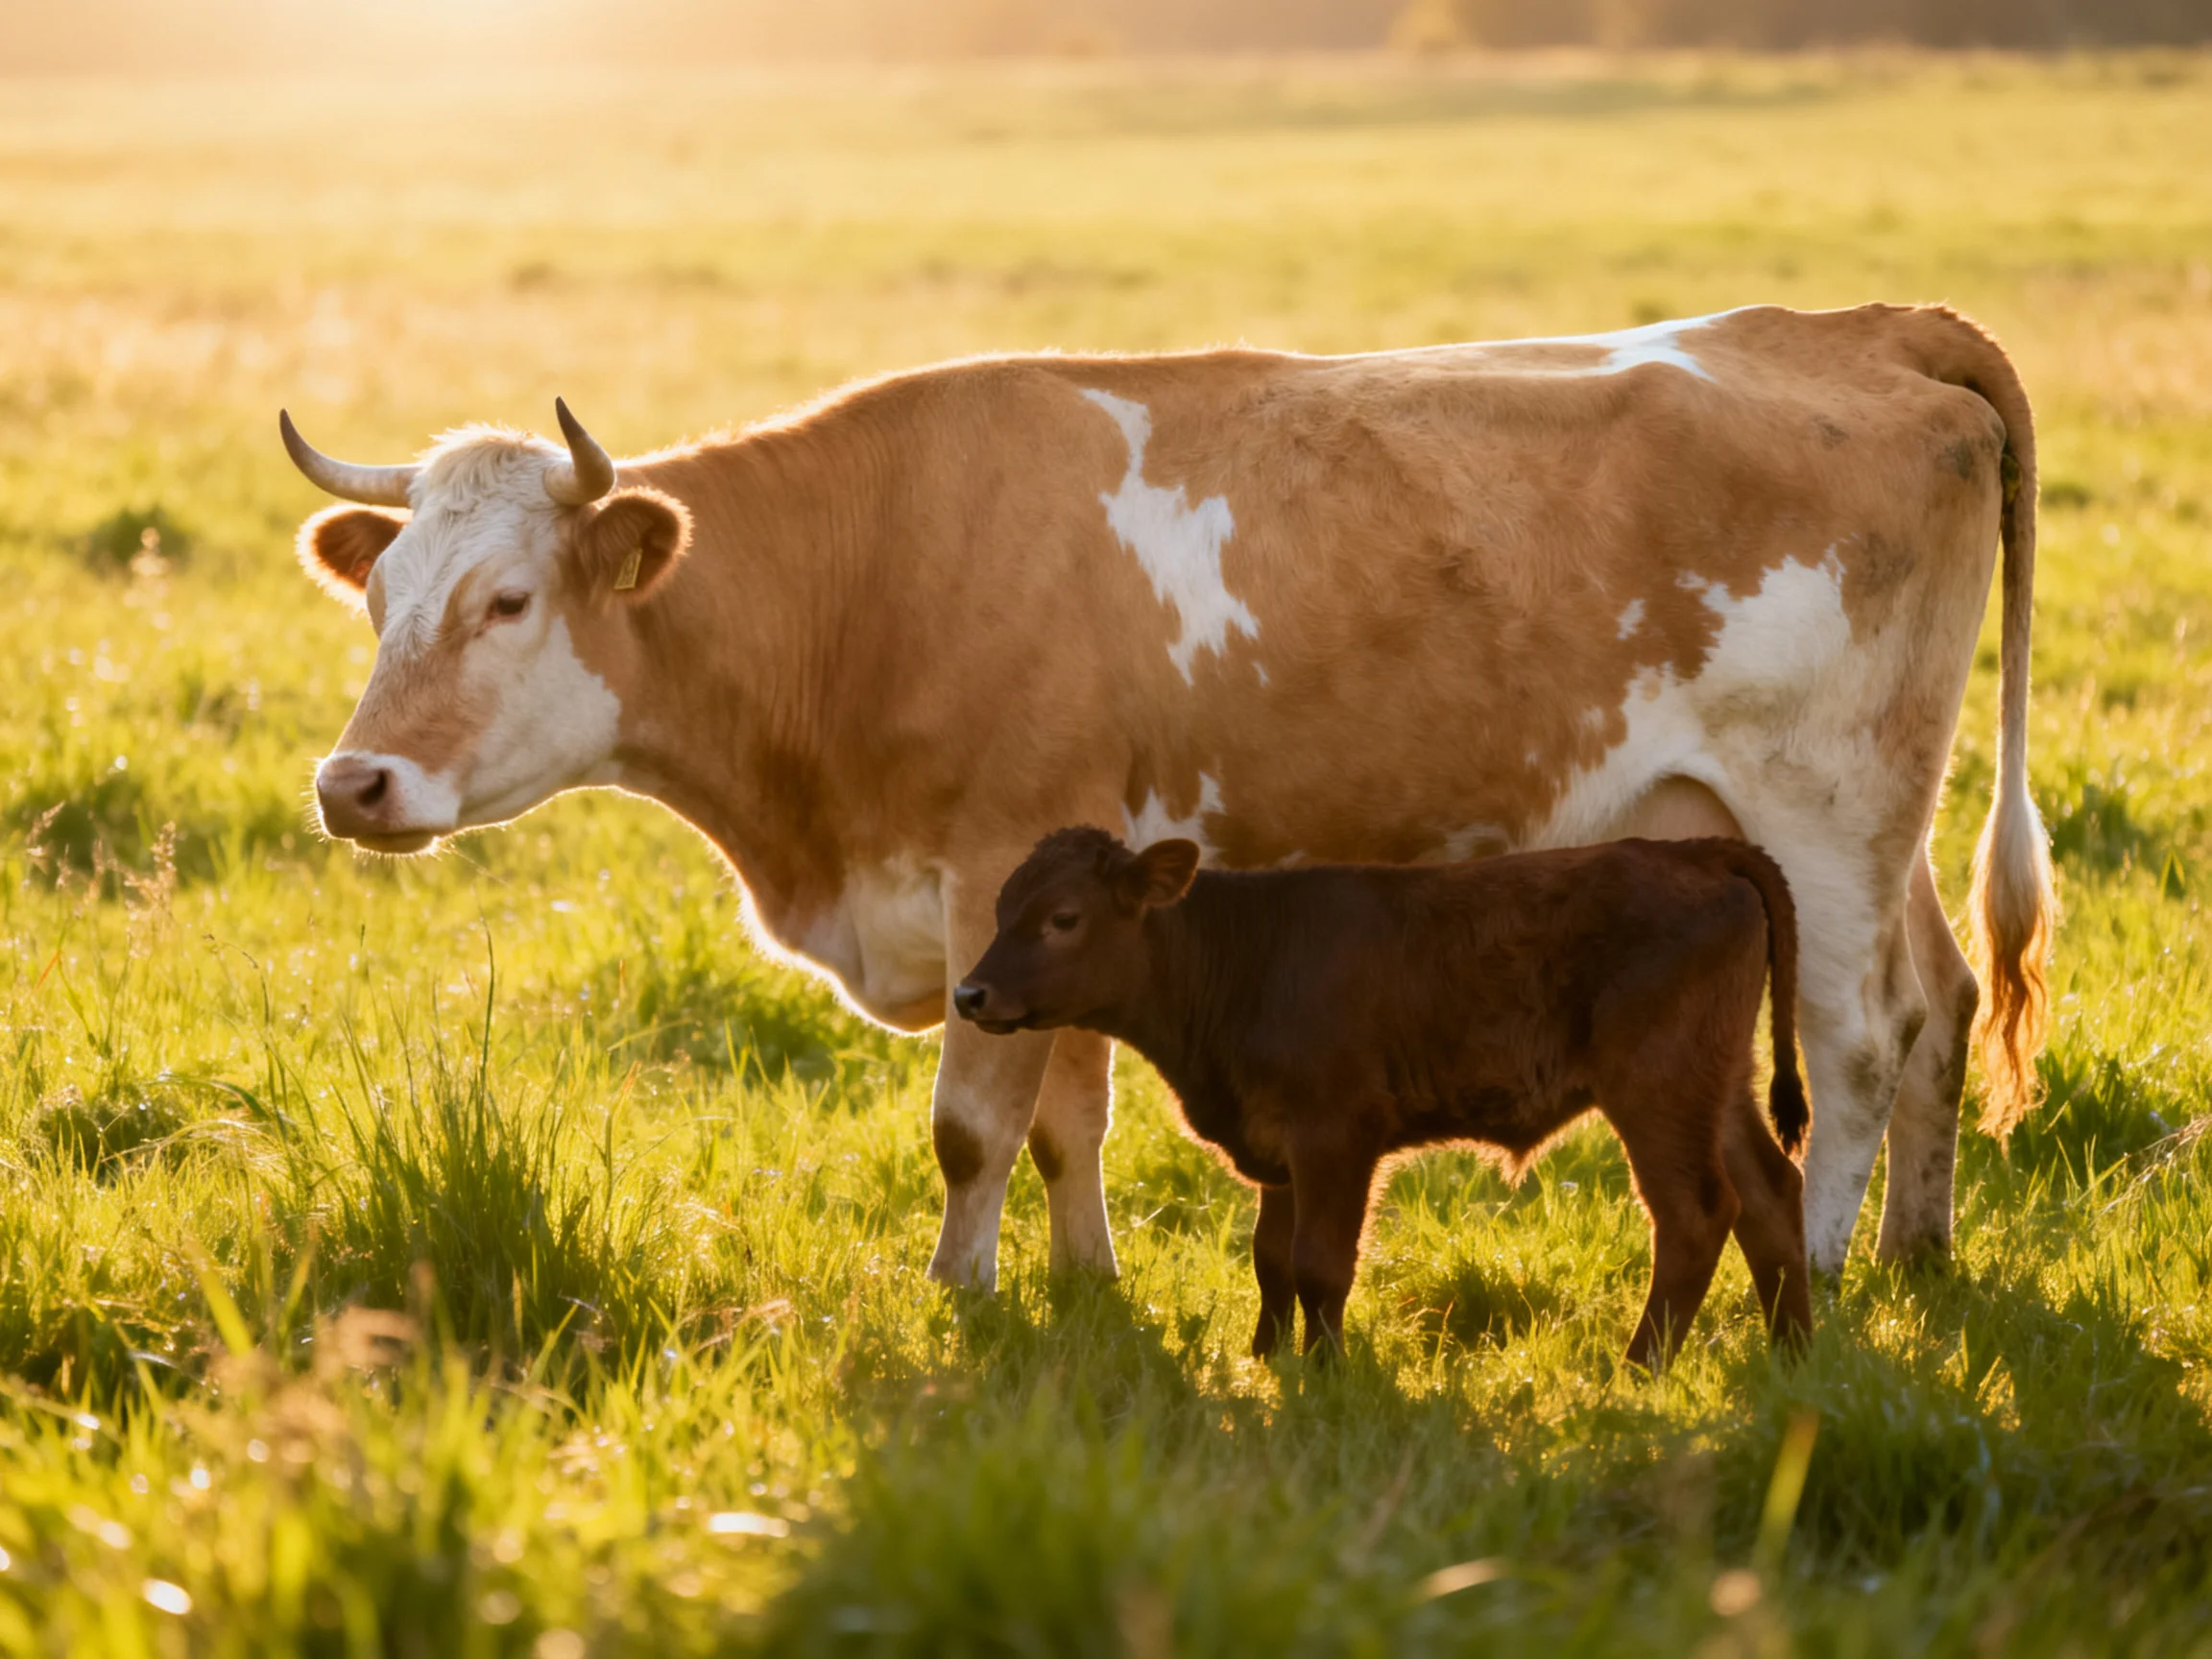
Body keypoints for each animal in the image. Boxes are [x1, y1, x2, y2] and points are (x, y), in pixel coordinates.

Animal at [279, 301, 2052, 1293]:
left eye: (508, 600)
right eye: (383, 601)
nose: (353, 782)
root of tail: (1857, 325)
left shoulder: (997, 853)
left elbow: (973, 1122)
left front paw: (962, 1296)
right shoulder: (1049, 903)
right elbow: (1069, 1112)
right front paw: (1080, 1286)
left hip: (1822, 803)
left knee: (1855, 1036)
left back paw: (1817, 1267)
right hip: (1831, 816)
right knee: (1944, 998)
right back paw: (1918, 1248)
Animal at [952, 829, 1811, 1365]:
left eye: (1064, 917)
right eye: (998, 912)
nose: (969, 993)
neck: (1248, 959)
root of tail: (1695, 851)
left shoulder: (1336, 1134)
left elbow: (1321, 1264)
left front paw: (1327, 1375)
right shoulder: (1278, 1143)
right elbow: (1271, 1258)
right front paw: (1265, 1360)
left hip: (1658, 1085)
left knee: (1696, 1213)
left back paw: (1638, 1369)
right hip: (1716, 1084)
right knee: (1771, 1193)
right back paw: (1794, 1355)